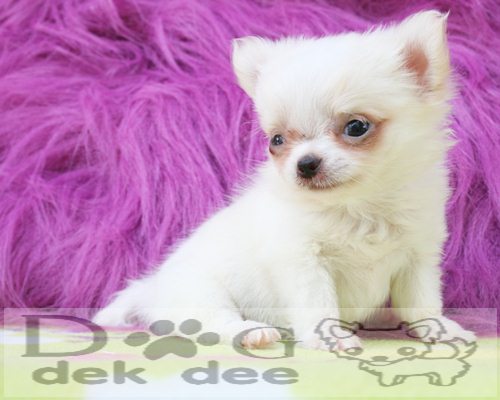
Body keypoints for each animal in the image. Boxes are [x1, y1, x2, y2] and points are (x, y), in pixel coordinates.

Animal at [94, 10, 475, 350]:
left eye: (356, 126)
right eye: (276, 140)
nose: (305, 164)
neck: (359, 207)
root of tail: (152, 286)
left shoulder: (417, 258)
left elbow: (422, 303)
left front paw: (439, 329)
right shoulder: (303, 260)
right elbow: (318, 303)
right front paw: (330, 338)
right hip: (201, 295)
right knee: (216, 323)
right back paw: (252, 332)